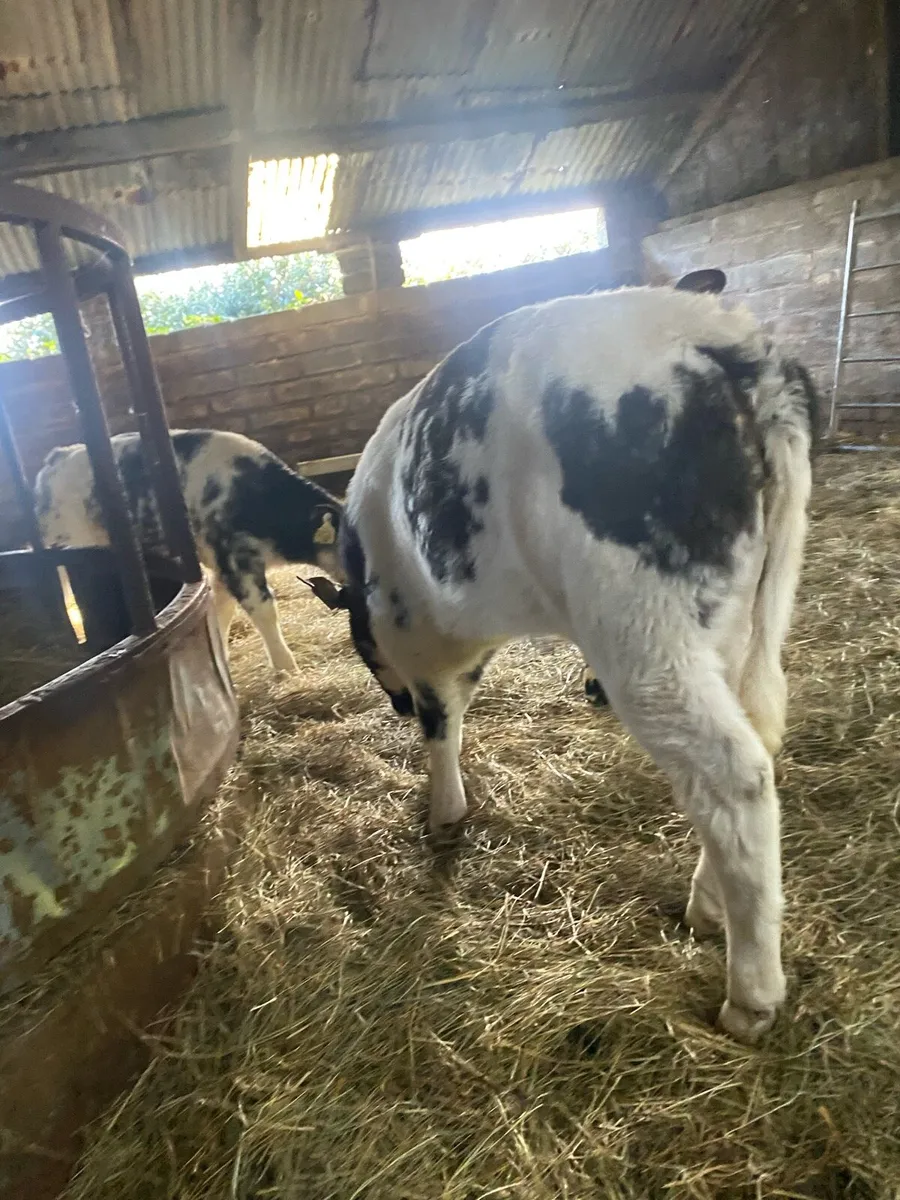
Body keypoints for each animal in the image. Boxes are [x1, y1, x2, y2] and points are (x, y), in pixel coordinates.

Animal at [34, 429, 343, 674]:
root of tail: (58, 456)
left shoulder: (220, 567)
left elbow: (220, 610)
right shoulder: (236, 559)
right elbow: (264, 610)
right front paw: (288, 670)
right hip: (66, 545)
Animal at [308, 274, 820, 1044]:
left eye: (363, 648)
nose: (391, 701)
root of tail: (718, 337)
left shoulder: (418, 639)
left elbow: (441, 723)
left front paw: (443, 813)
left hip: (644, 630)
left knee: (735, 775)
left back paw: (750, 996)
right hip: (738, 619)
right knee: (752, 745)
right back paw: (709, 905)